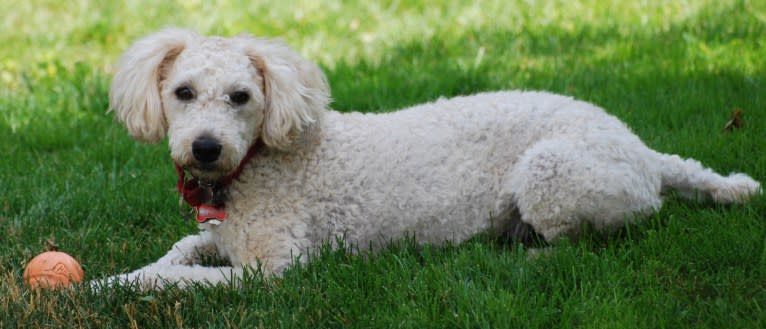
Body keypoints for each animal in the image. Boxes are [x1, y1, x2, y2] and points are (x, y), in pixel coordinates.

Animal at [100, 28, 760, 288]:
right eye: (183, 93)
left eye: (241, 97)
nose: (205, 147)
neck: (258, 162)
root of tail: (640, 147)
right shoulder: (220, 235)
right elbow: (178, 253)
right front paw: (110, 280)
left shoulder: (275, 272)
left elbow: (178, 278)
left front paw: (122, 287)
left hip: (551, 173)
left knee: (584, 246)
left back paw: (521, 258)